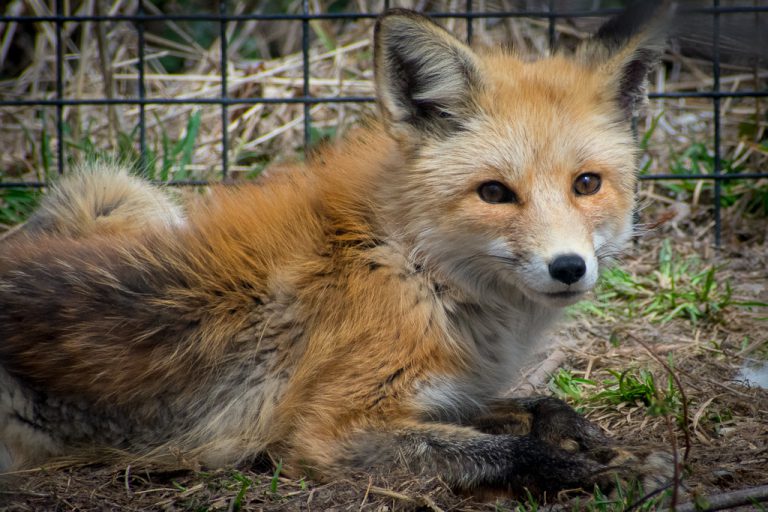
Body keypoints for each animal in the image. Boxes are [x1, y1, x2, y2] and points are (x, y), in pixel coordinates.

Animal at [0, 2, 672, 498]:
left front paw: (585, 436)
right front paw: (589, 469)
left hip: (119, 192)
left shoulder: (448, 394)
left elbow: (533, 404)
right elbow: (510, 447)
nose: (569, 268)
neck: (417, 267)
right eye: (494, 193)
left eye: (586, 184)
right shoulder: (328, 429)